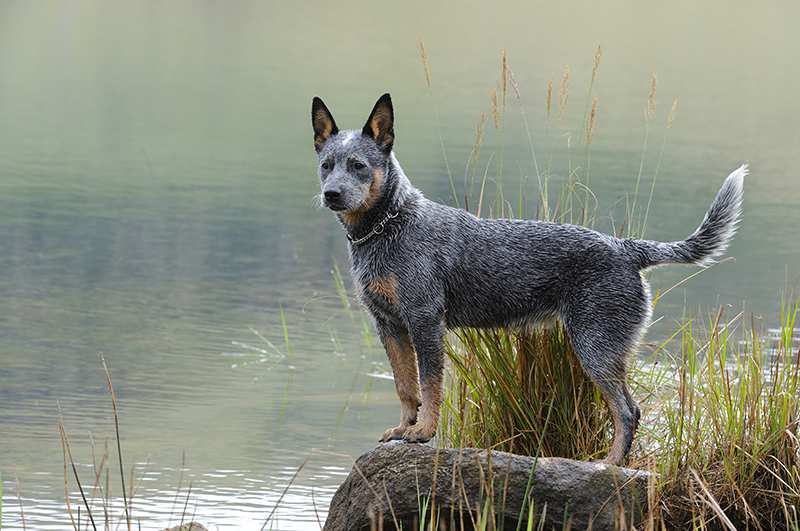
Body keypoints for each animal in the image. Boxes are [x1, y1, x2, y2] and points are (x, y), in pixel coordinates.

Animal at [310, 93, 748, 464]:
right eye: (326, 165)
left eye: (359, 166)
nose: (331, 194)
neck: (389, 227)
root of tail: (626, 248)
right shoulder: (389, 325)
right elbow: (405, 387)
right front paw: (404, 429)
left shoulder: (425, 322)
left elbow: (430, 385)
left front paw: (423, 432)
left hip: (595, 347)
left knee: (628, 411)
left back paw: (608, 465)